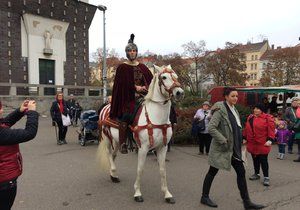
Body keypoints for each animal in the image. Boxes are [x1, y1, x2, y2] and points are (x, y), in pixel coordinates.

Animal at [97, 65, 184, 203]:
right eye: (164, 77)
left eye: (176, 76)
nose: (179, 92)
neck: (156, 116)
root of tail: (106, 106)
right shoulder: (143, 148)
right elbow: (140, 169)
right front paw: (137, 193)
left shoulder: (162, 147)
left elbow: (163, 170)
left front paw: (167, 194)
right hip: (106, 138)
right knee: (109, 154)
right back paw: (113, 171)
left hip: (117, 140)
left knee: (114, 155)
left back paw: (113, 175)